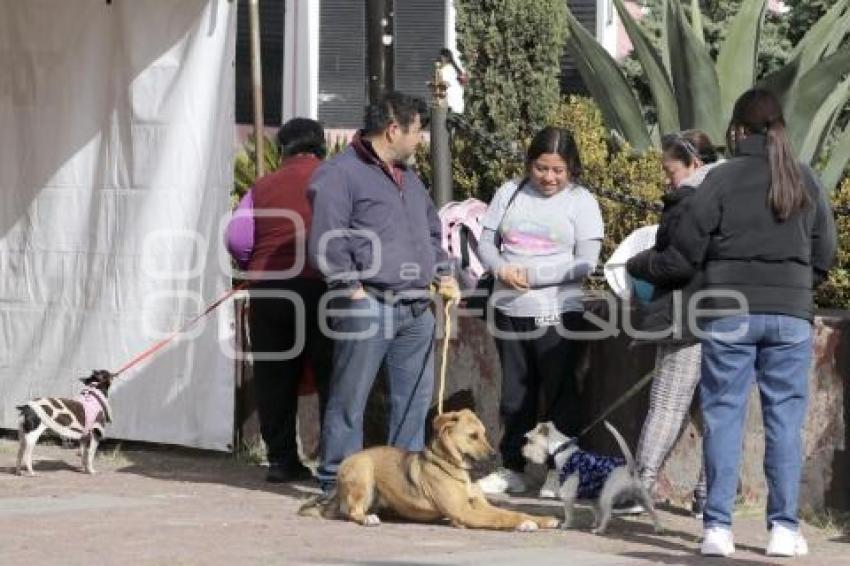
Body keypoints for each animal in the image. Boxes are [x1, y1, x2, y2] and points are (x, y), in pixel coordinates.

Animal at [302, 408, 560, 532]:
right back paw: (368, 519)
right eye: (473, 436)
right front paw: (523, 524)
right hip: (363, 474)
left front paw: (542, 519)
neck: (452, 466)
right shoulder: (464, 511)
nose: (496, 456)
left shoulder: (479, 505)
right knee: (351, 511)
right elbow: (502, 518)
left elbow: (512, 512)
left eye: (484, 434)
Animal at [516, 422, 664, 536]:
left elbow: (569, 514)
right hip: (642, 497)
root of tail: (630, 470)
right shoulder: (592, 497)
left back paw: (599, 530)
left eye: (530, 441)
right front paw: (594, 523)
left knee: (608, 515)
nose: (522, 452)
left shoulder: (568, 496)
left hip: (606, 497)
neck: (563, 449)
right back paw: (659, 529)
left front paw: (566, 525)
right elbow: (596, 512)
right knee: (653, 512)